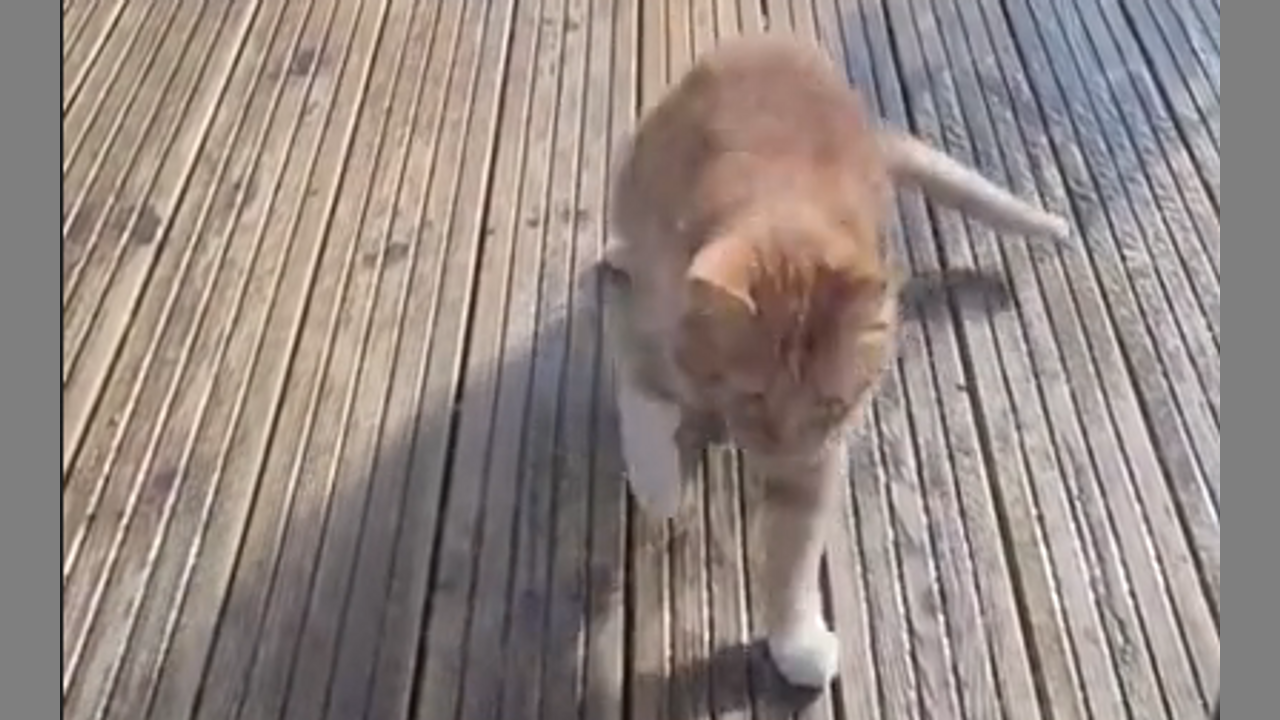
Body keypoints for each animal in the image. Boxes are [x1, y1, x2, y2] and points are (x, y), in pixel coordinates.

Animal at [603, 34, 1068, 690]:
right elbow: (647, 414)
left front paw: (794, 641)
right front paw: (663, 486)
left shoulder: (818, 459)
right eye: (752, 396)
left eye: (829, 403)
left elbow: (792, 556)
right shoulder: (639, 332)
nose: (780, 457)